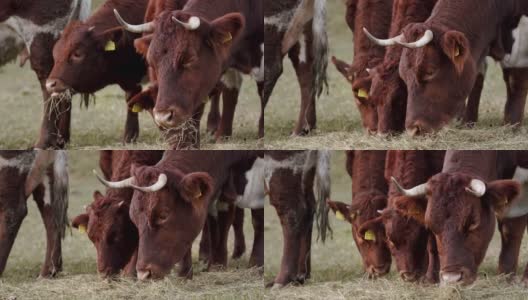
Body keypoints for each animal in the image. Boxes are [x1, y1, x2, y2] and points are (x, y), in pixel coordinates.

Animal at [47, 0, 148, 144]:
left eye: (77, 53)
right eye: (55, 53)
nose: (50, 84)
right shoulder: (129, 79)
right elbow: (131, 97)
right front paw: (130, 136)